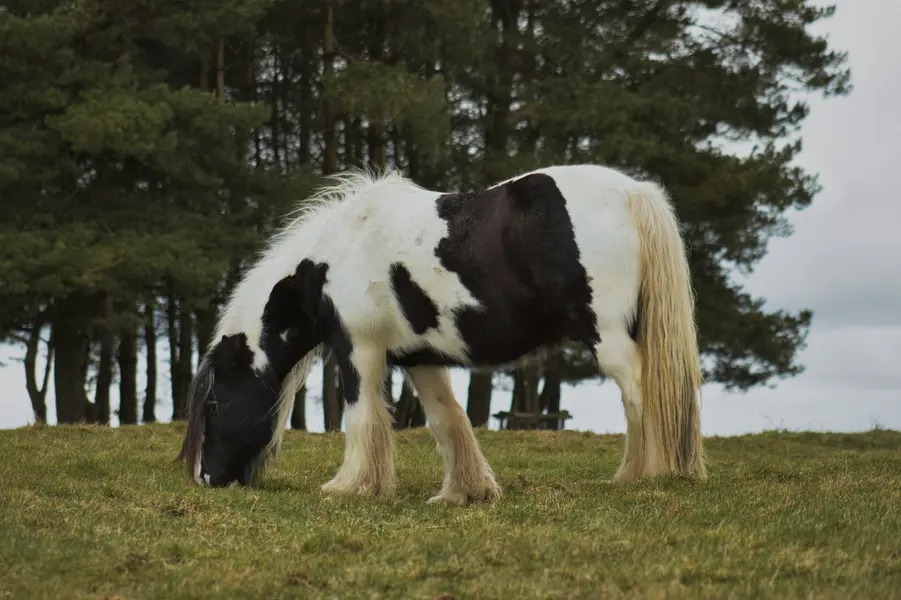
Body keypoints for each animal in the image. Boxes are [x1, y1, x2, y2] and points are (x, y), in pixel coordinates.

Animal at [177, 163, 706, 505]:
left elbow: (362, 416)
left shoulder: (357, 348)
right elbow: (446, 419)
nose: (205, 479)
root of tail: (633, 193)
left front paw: (350, 486)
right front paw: (465, 492)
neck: (338, 254)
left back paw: (645, 476)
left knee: (641, 394)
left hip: (609, 337)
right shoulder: (420, 357)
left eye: (215, 404)